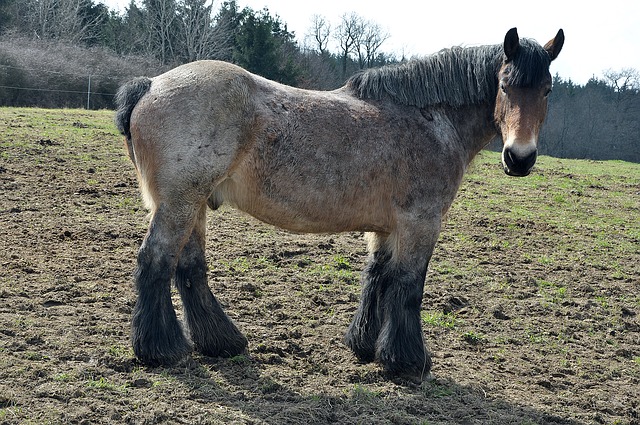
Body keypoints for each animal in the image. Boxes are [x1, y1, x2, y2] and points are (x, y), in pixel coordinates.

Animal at [114, 27, 564, 381]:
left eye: (546, 90)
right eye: (505, 85)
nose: (519, 158)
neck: (431, 119)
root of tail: (151, 85)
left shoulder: (387, 227)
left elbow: (378, 277)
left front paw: (365, 345)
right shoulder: (421, 222)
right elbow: (408, 286)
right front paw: (407, 362)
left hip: (194, 204)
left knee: (189, 268)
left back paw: (220, 342)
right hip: (179, 202)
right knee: (156, 261)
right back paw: (162, 350)